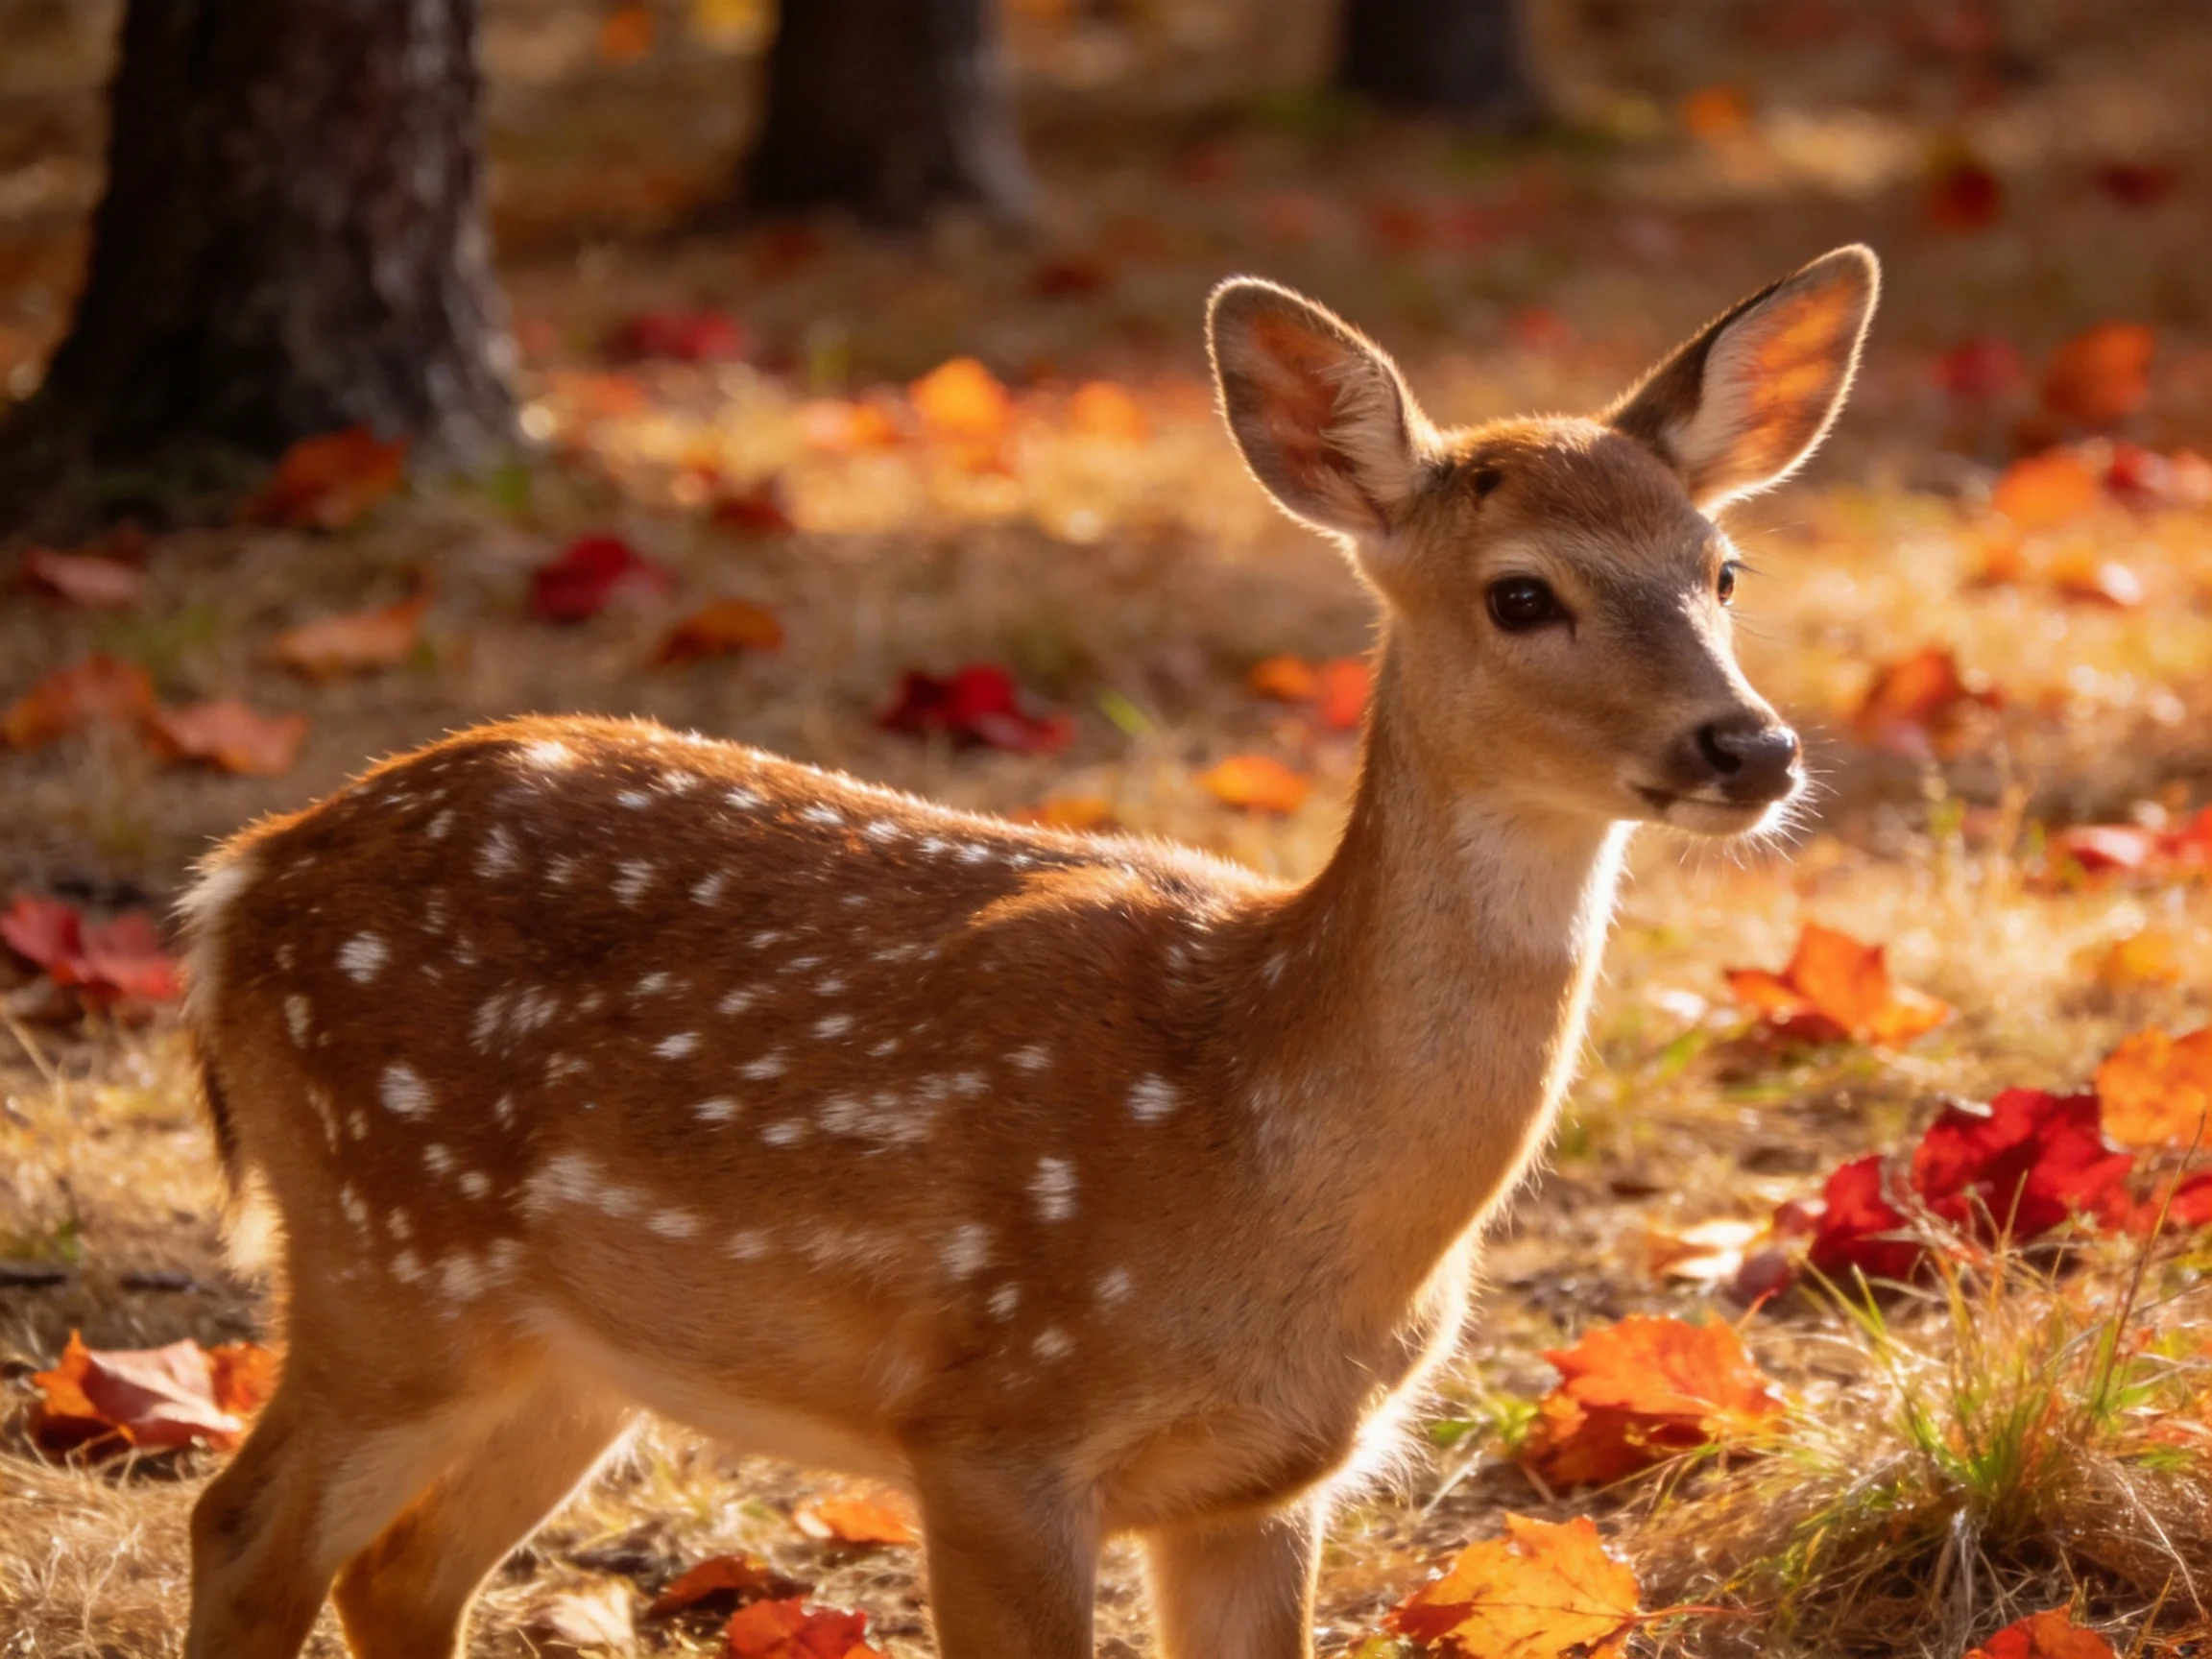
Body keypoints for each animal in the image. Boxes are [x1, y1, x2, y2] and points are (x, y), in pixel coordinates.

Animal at [179, 245, 1876, 1659]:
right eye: (1522, 593)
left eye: (1724, 571)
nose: (1750, 746)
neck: (1258, 1142)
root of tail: (234, 886)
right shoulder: (992, 1427)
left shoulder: (1265, 1484)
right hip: (391, 1249)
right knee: (245, 1529)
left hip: (575, 1349)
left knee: (396, 1573)